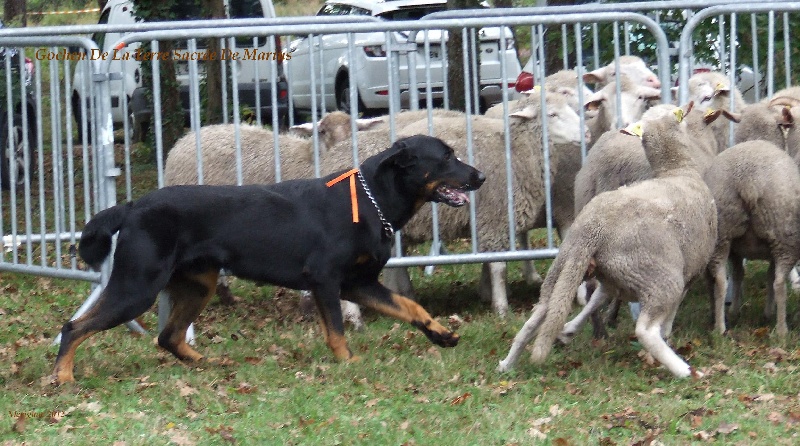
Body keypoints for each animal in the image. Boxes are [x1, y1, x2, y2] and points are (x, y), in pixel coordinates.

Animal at [54, 135, 488, 384]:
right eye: (446, 157)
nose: (480, 176)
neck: (372, 200)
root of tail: (132, 207)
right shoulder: (326, 280)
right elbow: (336, 330)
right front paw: (348, 364)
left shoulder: (358, 283)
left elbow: (409, 306)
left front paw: (441, 334)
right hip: (137, 286)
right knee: (74, 327)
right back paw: (63, 376)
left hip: (197, 285)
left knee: (168, 336)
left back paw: (209, 363)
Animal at [500, 103, 720, 378]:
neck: (677, 171)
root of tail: (593, 230)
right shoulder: (692, 267)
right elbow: (672, 311)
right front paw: (668, 333)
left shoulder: (613, 278)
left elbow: (597, 298)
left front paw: (570, 329)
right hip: (660, 276)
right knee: (645, 330)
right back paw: (683, 369)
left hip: (568, 266)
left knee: (539, 312)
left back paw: (507, 363)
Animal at [704, 140, 800, 338]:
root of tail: (749, 180)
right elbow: (768, 276)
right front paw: (767, 312)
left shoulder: (736, 251)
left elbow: (739, 274)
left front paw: (735, 310)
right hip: (784, 236)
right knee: (779, 282)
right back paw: (781, 330)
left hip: (721, 235)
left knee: (720, 281)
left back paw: (720, 328)